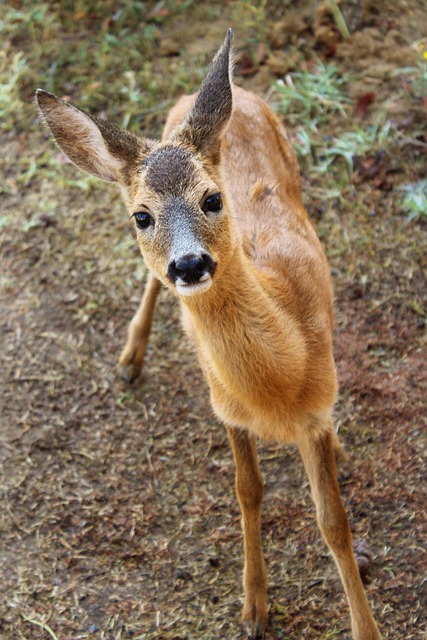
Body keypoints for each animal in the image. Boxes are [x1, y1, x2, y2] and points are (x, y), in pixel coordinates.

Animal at [36, 30, 382, 640]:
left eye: (213, 199)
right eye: (142, 216)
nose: (190, 263)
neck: (281, 382)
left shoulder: (315, 413)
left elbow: (333, 523)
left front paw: (367, 628)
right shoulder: (227, 409)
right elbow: (249, 492)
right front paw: (254, 608)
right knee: (149, 284)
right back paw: (130, 358)